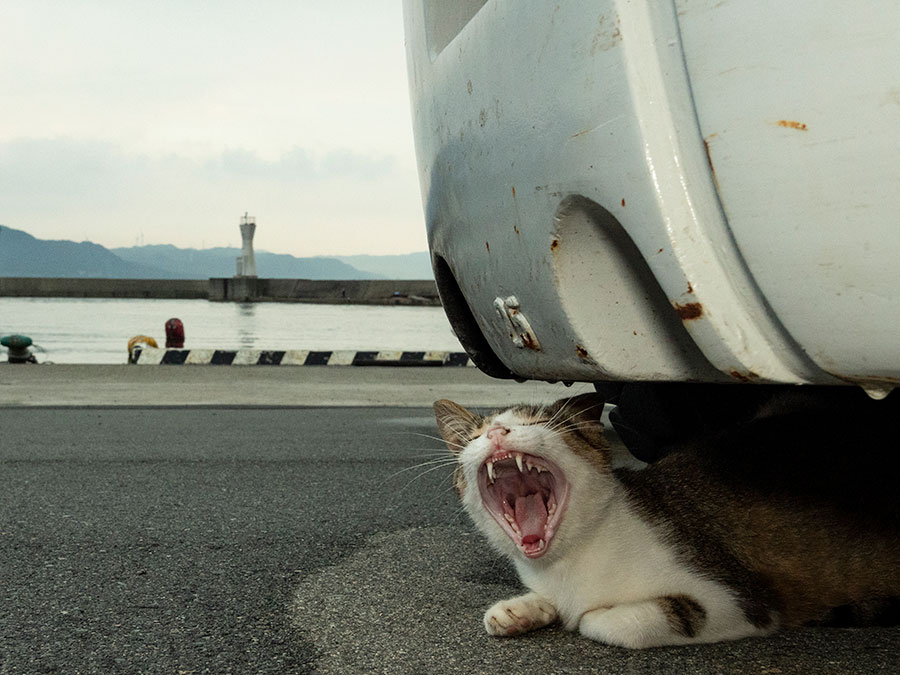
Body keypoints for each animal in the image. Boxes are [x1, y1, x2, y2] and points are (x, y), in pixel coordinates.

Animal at [432, 390, 896, 648]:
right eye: (474, 436)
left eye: (540, 422)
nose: (496, 434)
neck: (569, 561)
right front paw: (520, 610)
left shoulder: (737, 600)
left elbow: (605, 621)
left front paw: (580, 615)